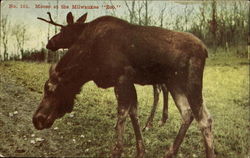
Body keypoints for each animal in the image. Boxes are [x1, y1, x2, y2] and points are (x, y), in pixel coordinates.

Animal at [37, 11, 170, 131]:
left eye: (62, 30)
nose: (49, 43)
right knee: (163, 89)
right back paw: (161, 120)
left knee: (159, 91)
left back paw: (150, 123)